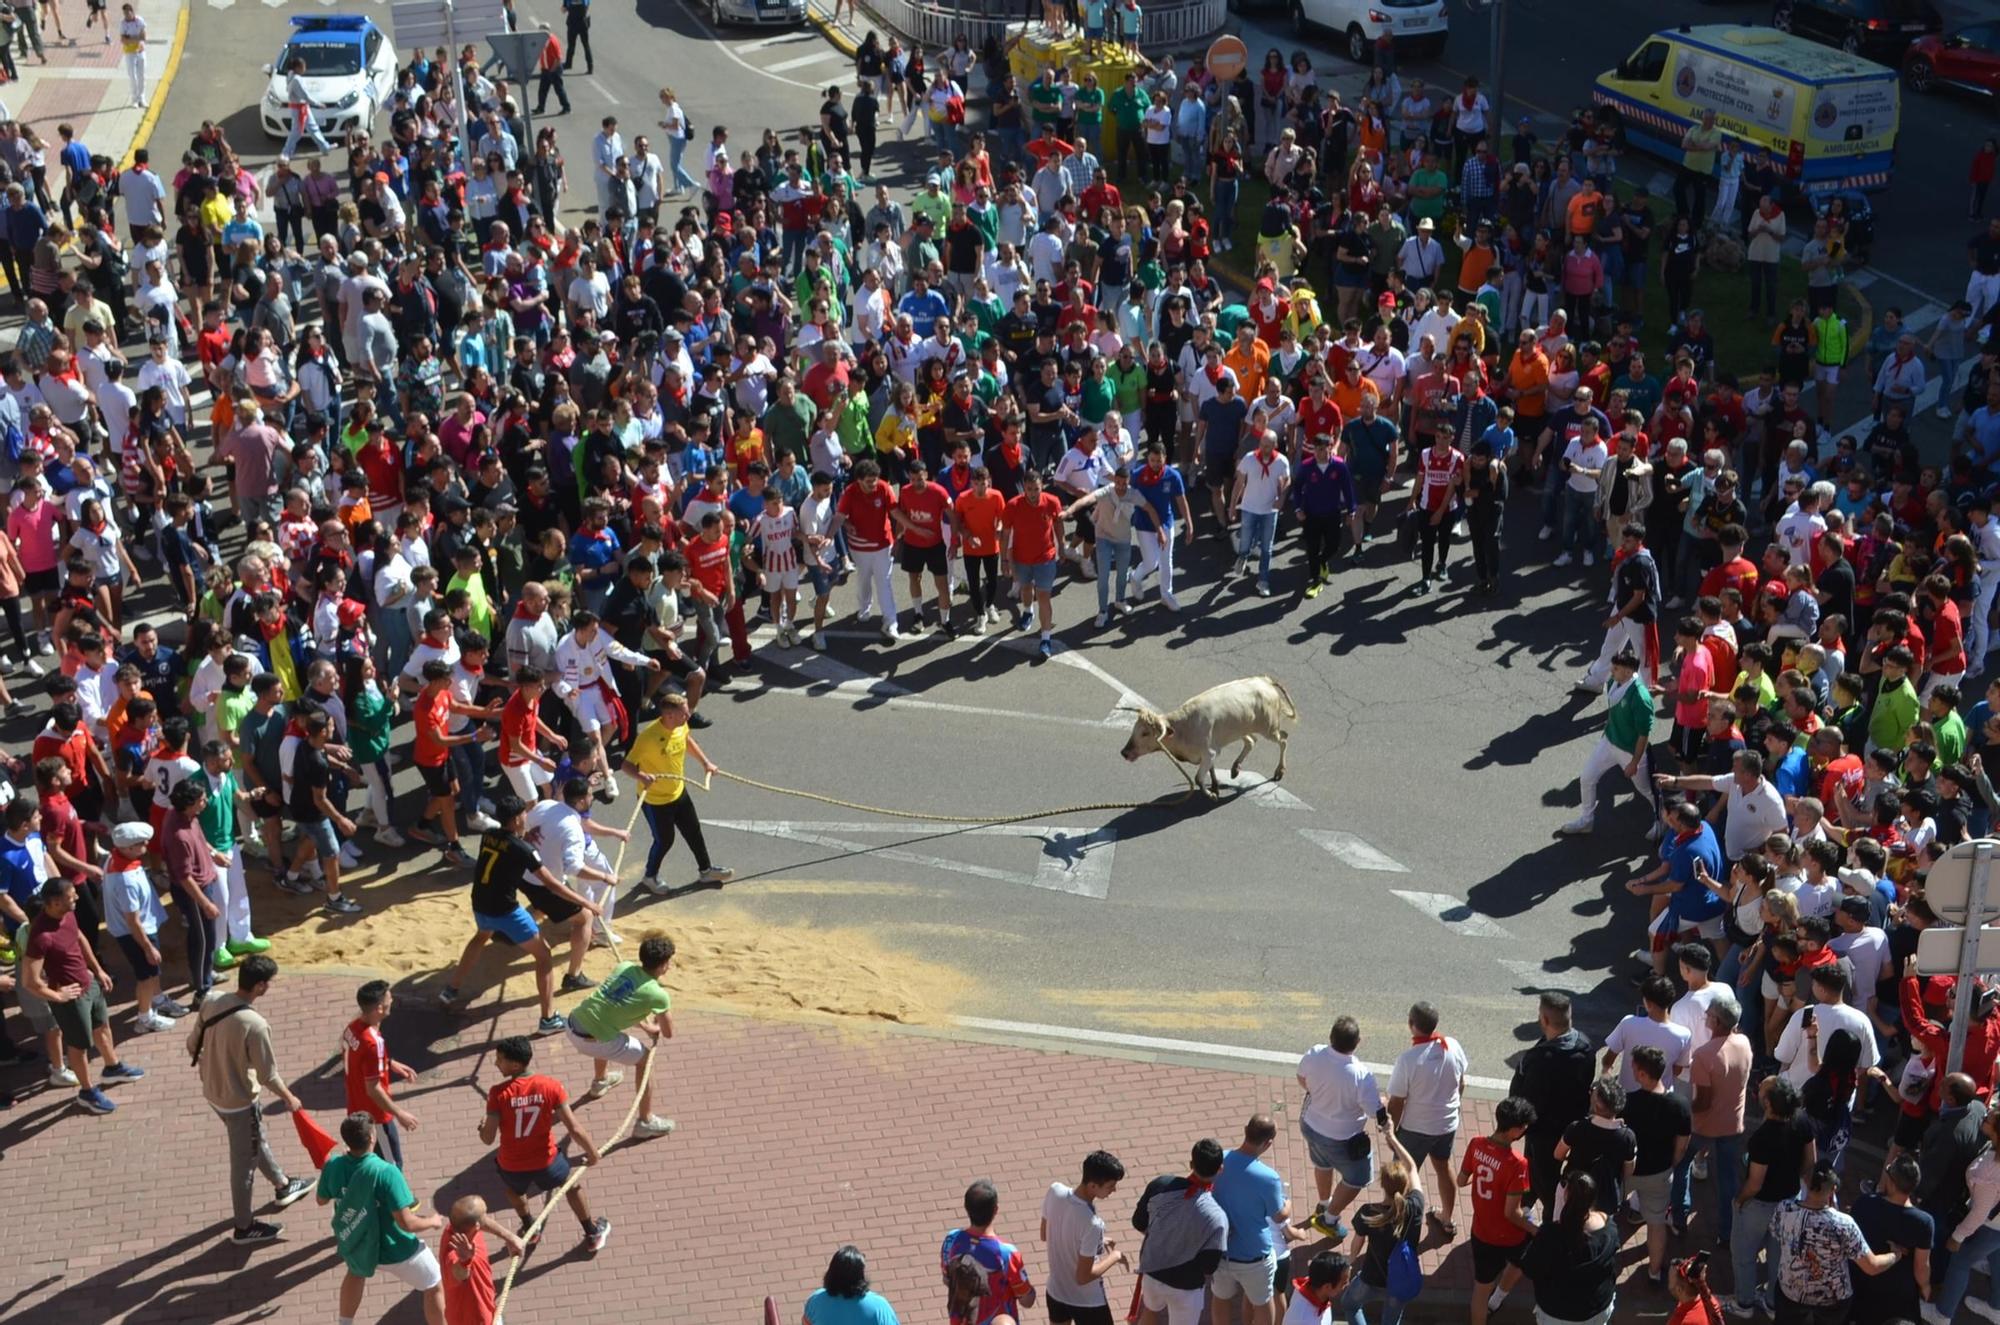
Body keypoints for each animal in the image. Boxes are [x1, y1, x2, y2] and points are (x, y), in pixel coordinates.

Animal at [1112, 676, 1296, 800]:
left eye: (1145, 733)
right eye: (1134, 729)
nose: (1124, 752)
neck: (1183, 729)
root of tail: (1265, 680)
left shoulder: (1208, 752)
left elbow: (1198, 778)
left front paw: (1210, 795)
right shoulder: (1211, 751)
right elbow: (1211, 770)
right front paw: (1214, 787)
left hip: (1269, 728)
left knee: (1283, 738)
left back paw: (1280, 770)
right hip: (1242, 727)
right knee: (1251, 741)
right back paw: (1236, 768)